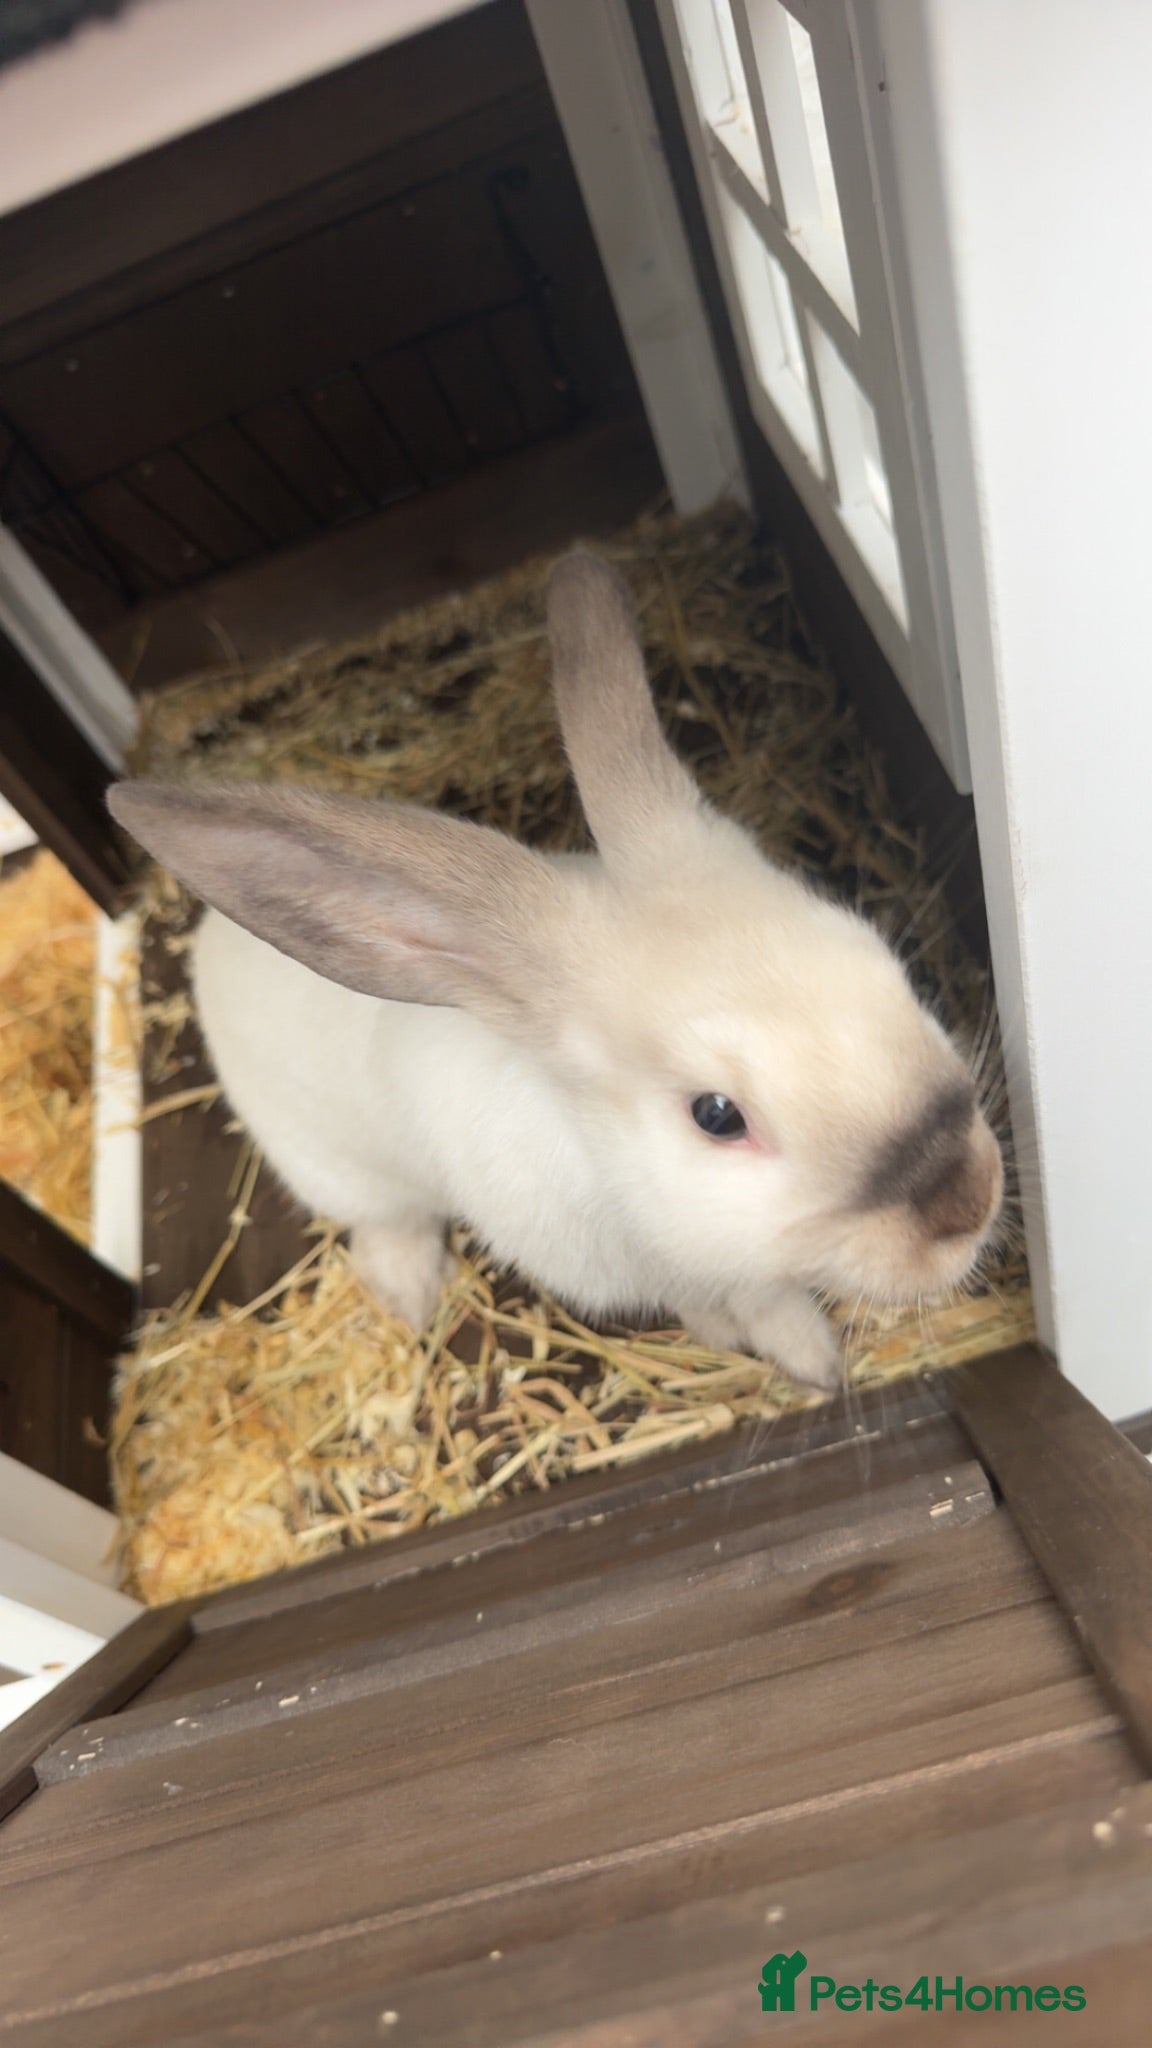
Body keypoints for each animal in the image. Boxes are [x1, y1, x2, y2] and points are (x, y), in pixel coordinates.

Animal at [108, 550, 1002, 1393]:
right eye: (717, 1116)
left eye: (880, 958)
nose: (966, 1200)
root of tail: (212, 944)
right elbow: (730, 1300)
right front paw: (791, 1354)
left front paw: (811, 1361)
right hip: (334, 1166)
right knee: (384, 1222)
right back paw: (411, 1292)